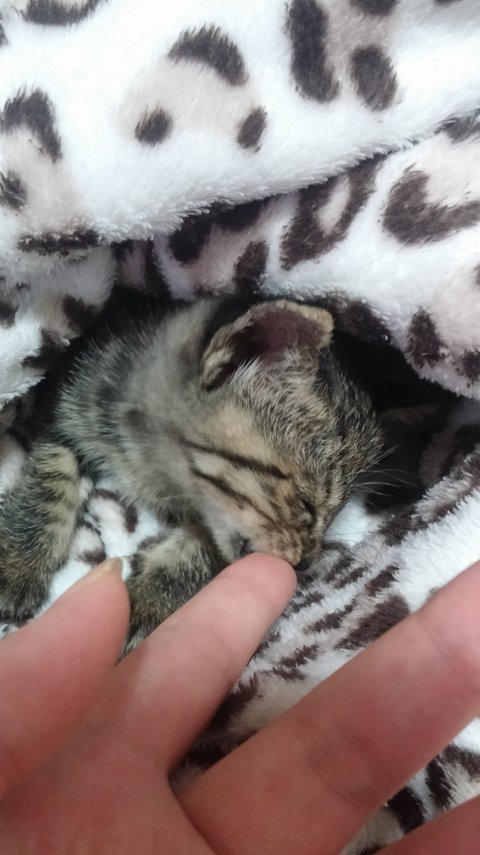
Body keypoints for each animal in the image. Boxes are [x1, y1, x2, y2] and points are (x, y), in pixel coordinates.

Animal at [0, 296, 383, 652]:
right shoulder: (60, 412)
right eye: (306, 504)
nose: (305, 562)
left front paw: (146, 602)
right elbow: (50, 482)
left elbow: (201, 547)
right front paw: (18, 562)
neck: (155, 464)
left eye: (334, 516)